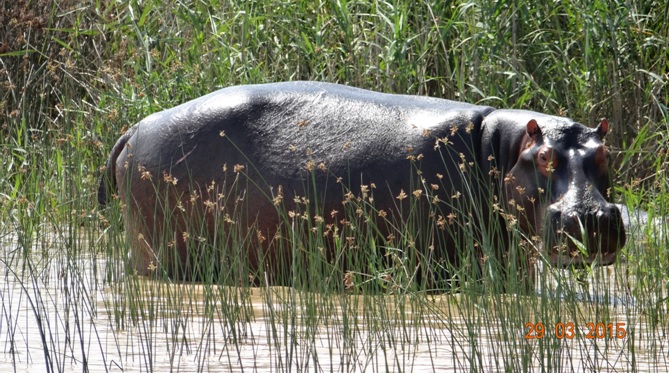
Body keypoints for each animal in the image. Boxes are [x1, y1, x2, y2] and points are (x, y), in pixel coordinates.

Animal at [99, 80, 628, 286]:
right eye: (543, 158)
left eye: (606, 154)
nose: (592, 216)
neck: (501, 147)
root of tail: (135, 128)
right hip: (160, 251)